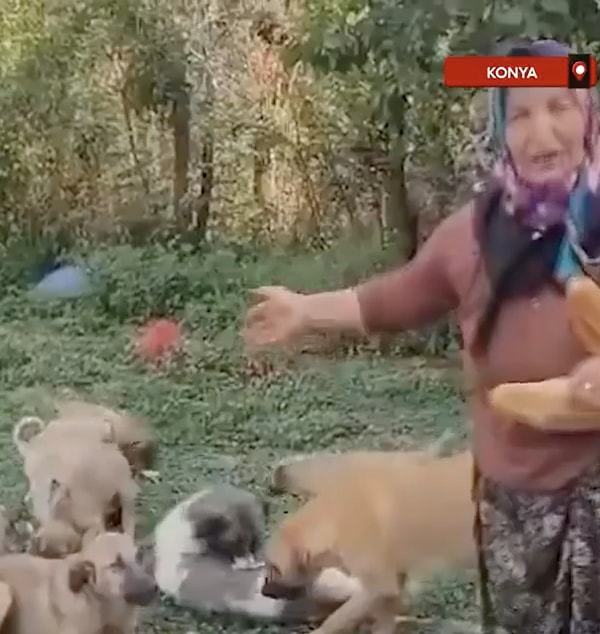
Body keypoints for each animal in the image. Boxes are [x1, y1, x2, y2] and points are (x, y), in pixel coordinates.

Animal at [262, 446, 474, 632]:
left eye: (274, 568)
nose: (263, 590)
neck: (334, 519)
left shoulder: (377, 587)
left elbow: (337, 618)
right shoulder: (392, 583)